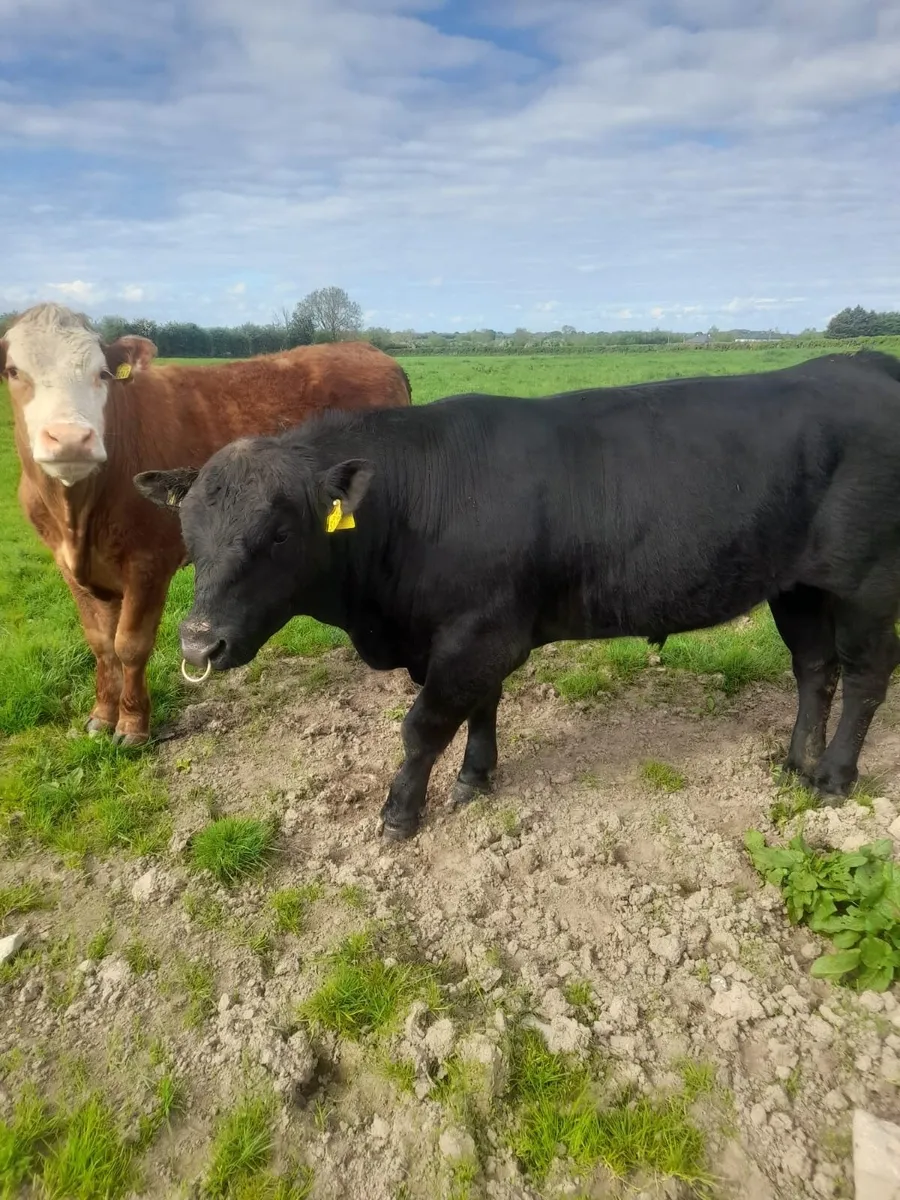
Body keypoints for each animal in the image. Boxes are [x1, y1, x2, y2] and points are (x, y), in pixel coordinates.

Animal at [0, 301, 411, 745]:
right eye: (13, 371)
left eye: (103, 374)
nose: (71, 438)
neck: (78, 514)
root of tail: (370, 352)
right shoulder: (71, 568)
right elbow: (102, 645)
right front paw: (101, 716)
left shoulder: (148, 561)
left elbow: (130, 644)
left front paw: (132, 725)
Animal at [134, 350, 900, 840]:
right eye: (188, 529)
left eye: (280, 533)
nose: (198, 643)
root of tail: (859, 362)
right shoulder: (469, 635)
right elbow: (480, 709)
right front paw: (477, 777)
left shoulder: (478, 634)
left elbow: (423, 727)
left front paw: (400, 814)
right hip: (798, 586)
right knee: (814, 668)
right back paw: (796, 762)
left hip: (867, 585)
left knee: (865, 673)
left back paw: (833, 776)